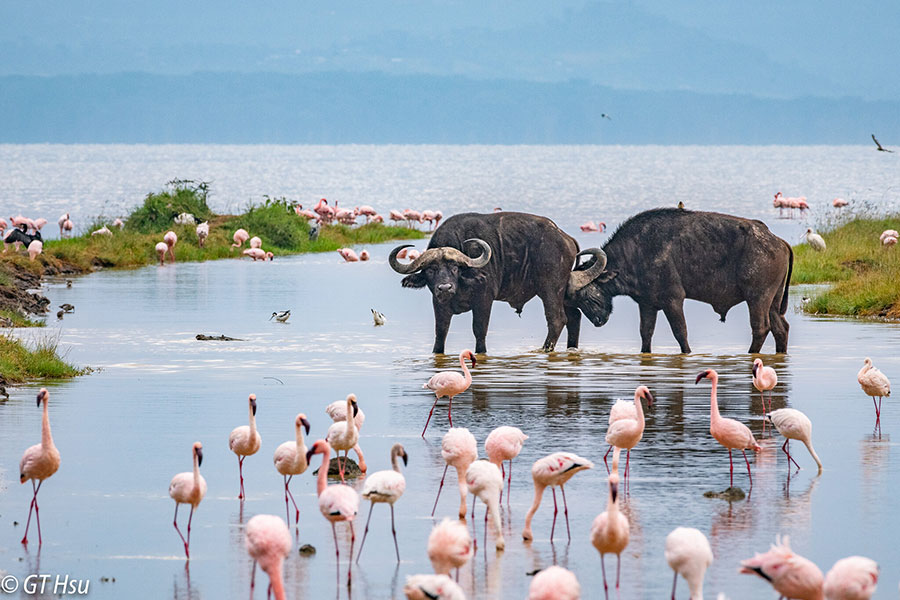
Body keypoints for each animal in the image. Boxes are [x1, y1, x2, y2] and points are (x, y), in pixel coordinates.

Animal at [388, 211, 604, 354]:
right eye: (431, 270)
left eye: (455, 268)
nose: (445, 288)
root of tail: (565, 237)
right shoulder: (439, 303)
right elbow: (441, 332)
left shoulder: (484, 299)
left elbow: (479, 329)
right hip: (563, 292)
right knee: (574, 317)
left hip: (551, 289)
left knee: (557, 319)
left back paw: (545, 349)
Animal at [572, 209, 792, 354]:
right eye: (576, 300)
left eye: (586, 296)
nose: (598, 321)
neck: (637, 252)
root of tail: (778, 241)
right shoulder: (647, 305)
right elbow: (645, 333)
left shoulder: (673, 300)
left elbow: (680, 332)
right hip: (773, 301)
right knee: (781, 328)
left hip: (757, 298)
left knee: (760, 327)